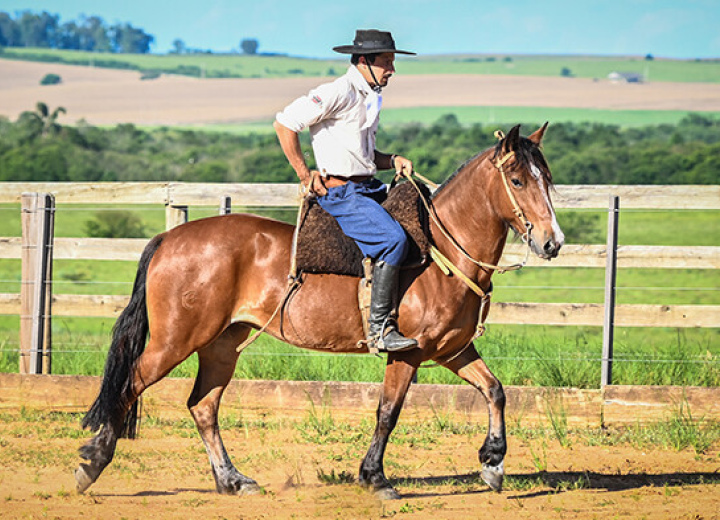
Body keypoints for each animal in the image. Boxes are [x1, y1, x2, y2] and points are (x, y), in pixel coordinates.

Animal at [76, 123, 564, 500]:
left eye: (547, 178)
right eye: (517, 181)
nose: (552, 242)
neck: (440, 251)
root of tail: (170, 239)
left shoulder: (452, 350)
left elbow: (495, 391)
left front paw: (493, 463)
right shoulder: (406, 352)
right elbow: (388, 412)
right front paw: (375, 478)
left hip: (221, 345)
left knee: (203, 406)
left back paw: (232, 480)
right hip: (174, 341)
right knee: (129, 385)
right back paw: (92, 462)